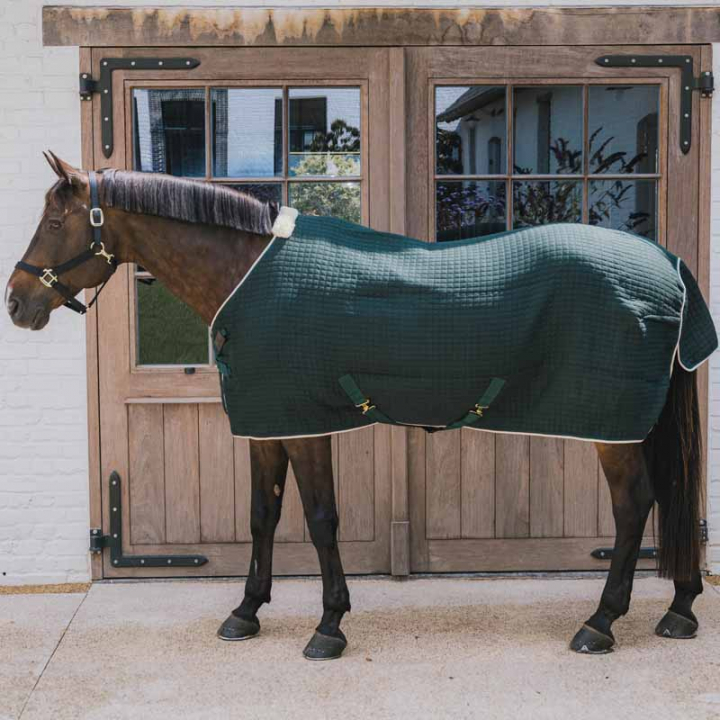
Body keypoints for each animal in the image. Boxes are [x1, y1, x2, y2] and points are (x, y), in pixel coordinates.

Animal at [5, 151, 707, 660]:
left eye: (57, 223)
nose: (16, 302)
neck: (250, 276)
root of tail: (667, 263)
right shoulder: (267, 424)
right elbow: (262, 516)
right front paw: (245, 613)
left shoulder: (304, 426)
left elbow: (320, 520)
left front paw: (329, 627)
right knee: (669, 497)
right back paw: (680, 609)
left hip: (612, 429)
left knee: (634, 506)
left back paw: (601, 623)